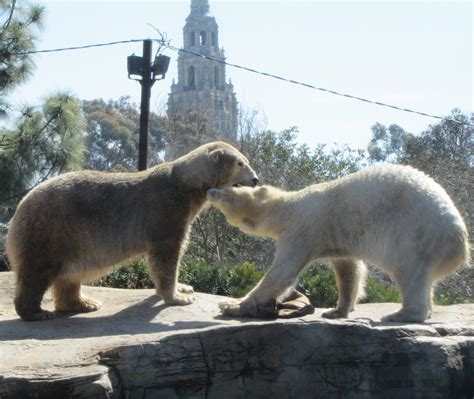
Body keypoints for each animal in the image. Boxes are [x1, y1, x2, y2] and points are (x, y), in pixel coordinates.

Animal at [7, 141, 260, 322]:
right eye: (240, 163)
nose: (256, 179)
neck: (186, 184)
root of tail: (21, 207)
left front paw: (183, 287)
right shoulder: (167, 208)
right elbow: (166, 253)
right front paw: (179, 297)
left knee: (69, 276)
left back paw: (84, 303)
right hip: (52, 228)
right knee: (38, 269)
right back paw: (37, 312)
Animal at [208, 164, 470, 324]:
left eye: (228, 191)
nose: (210, 190)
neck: (288, 207)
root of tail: (462, 245)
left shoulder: (301, 230)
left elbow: (282, 273)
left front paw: (231, 305)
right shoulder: (337, 236)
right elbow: (349, 271)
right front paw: (338, 310)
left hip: (416, 234)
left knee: (409, 271)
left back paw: (401, 314)